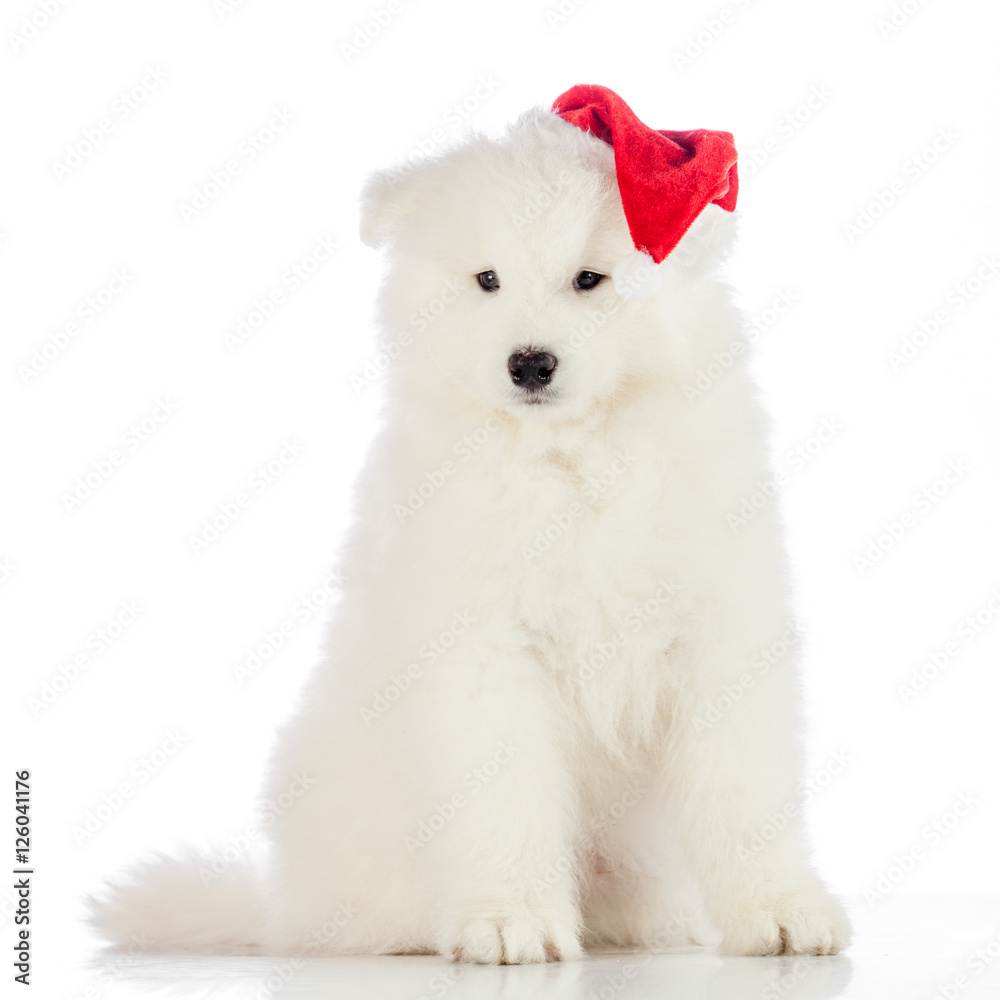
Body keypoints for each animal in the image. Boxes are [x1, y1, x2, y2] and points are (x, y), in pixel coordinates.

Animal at [92, 99, 852, 960]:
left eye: (589, 279)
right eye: (487, 280)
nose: (530, 363)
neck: (570, 459)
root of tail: (279, 909)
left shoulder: (717, 633)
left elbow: (743, 793)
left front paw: (781, 908)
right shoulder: (483, 648)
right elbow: (503, 801)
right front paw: (509, 919)